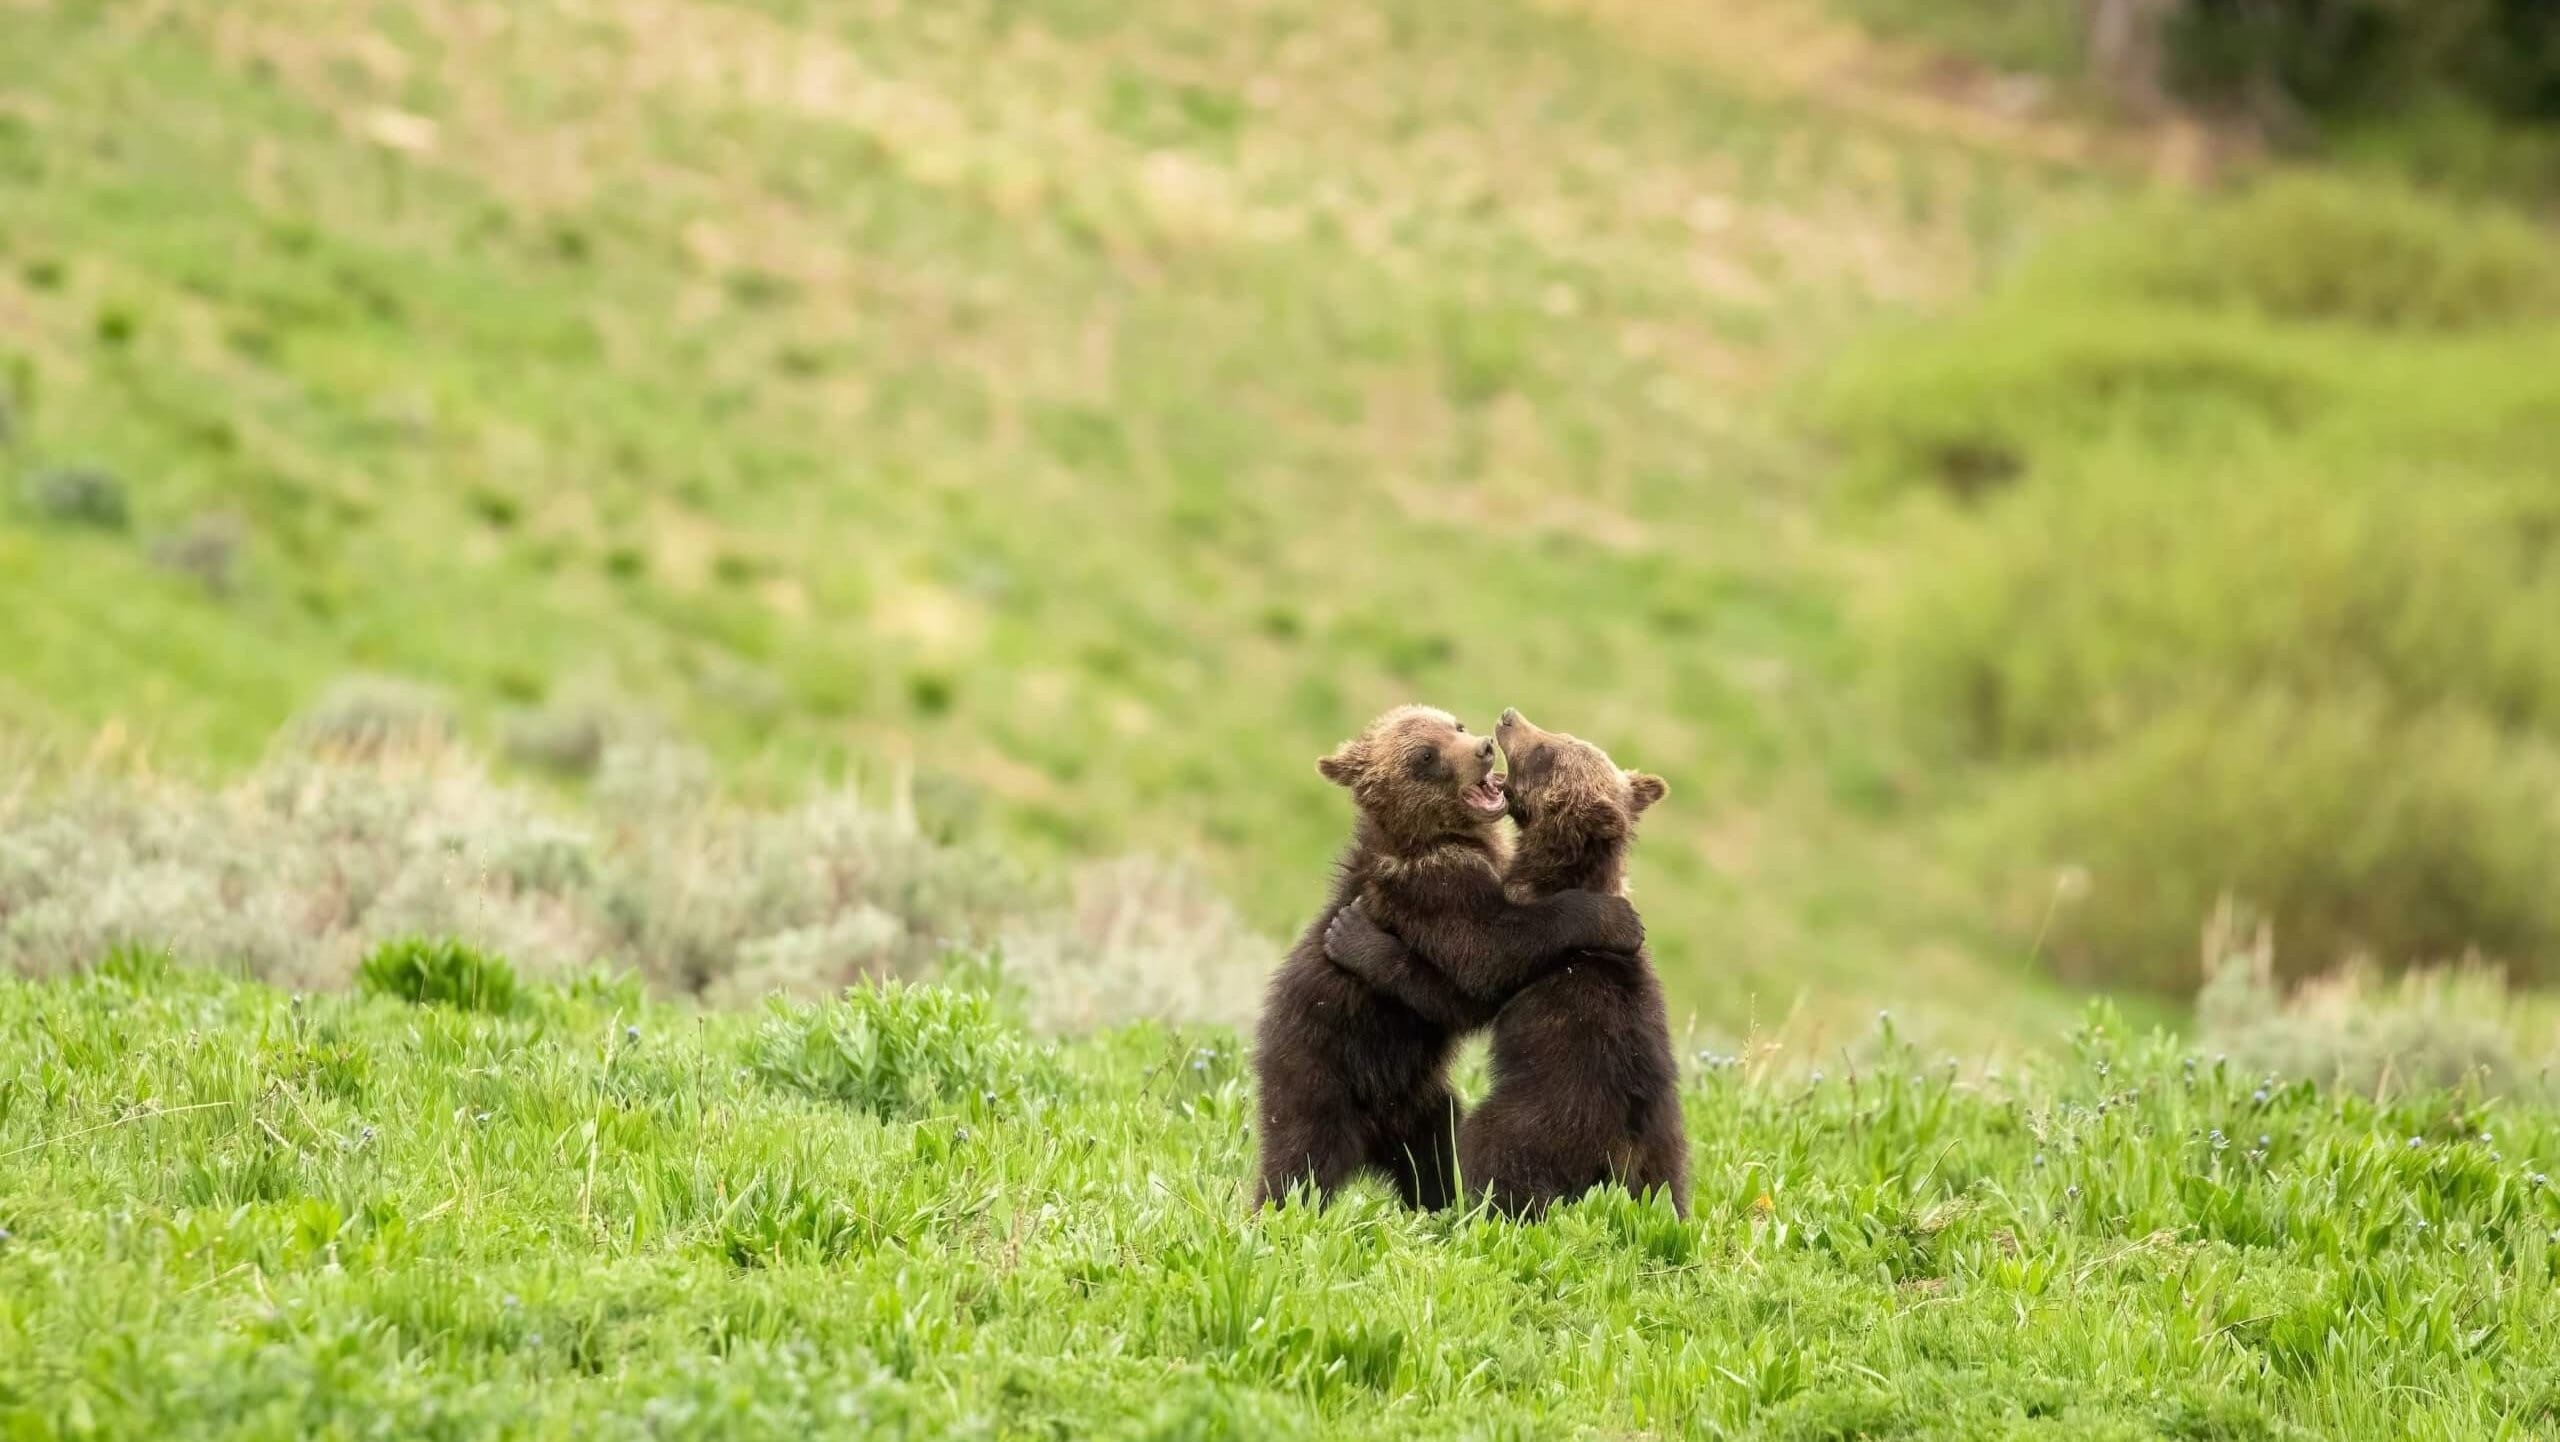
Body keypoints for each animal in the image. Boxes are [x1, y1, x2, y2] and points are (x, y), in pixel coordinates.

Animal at [1251, 704, 1648, 1211]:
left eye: (1453, 725)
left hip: (1423, 1108)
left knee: (1436, 1160)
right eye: (1425, 755)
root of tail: (1373, 1138)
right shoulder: (1434, 890)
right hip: (1319, 1076)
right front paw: (1617, 919)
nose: (1483, 747)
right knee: (1298, 1163)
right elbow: (1488, 953)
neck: (1442, 839)